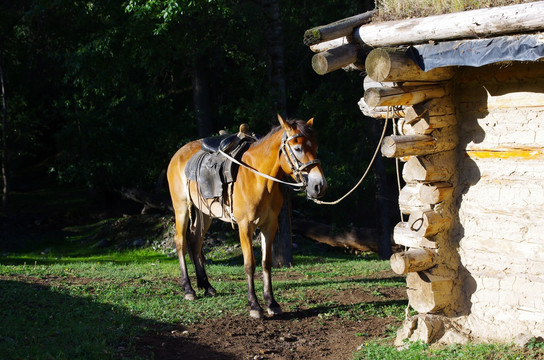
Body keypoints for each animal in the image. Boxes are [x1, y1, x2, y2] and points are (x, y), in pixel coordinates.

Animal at [167, 114, 328, 318]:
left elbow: (266, 263)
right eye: (298, 148)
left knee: (195, 242)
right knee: (180, 241)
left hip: (205, 213)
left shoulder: (269, 225)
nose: (319, 185)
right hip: (181, 207)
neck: (259, 179)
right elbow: (250, 264)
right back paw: (188, 289)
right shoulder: (245, 226)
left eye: (315, 147)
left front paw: (271, 302)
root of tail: (178, 154)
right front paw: (254, 305)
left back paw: (207, 286)